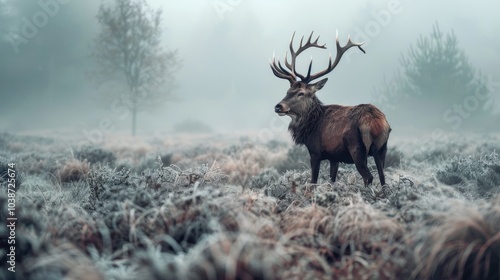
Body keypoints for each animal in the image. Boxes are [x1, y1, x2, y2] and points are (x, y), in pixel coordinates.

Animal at [270, 31, 390, 186]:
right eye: (287, 91)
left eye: (301, 93)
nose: (278, 107)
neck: (310, 126)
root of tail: (377, 123)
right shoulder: (334, 157)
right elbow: (332, 179)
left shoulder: (315, 152)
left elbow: (313, 181)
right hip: (382, 148)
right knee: (382, 177)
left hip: (357, 148)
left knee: (368, 177)